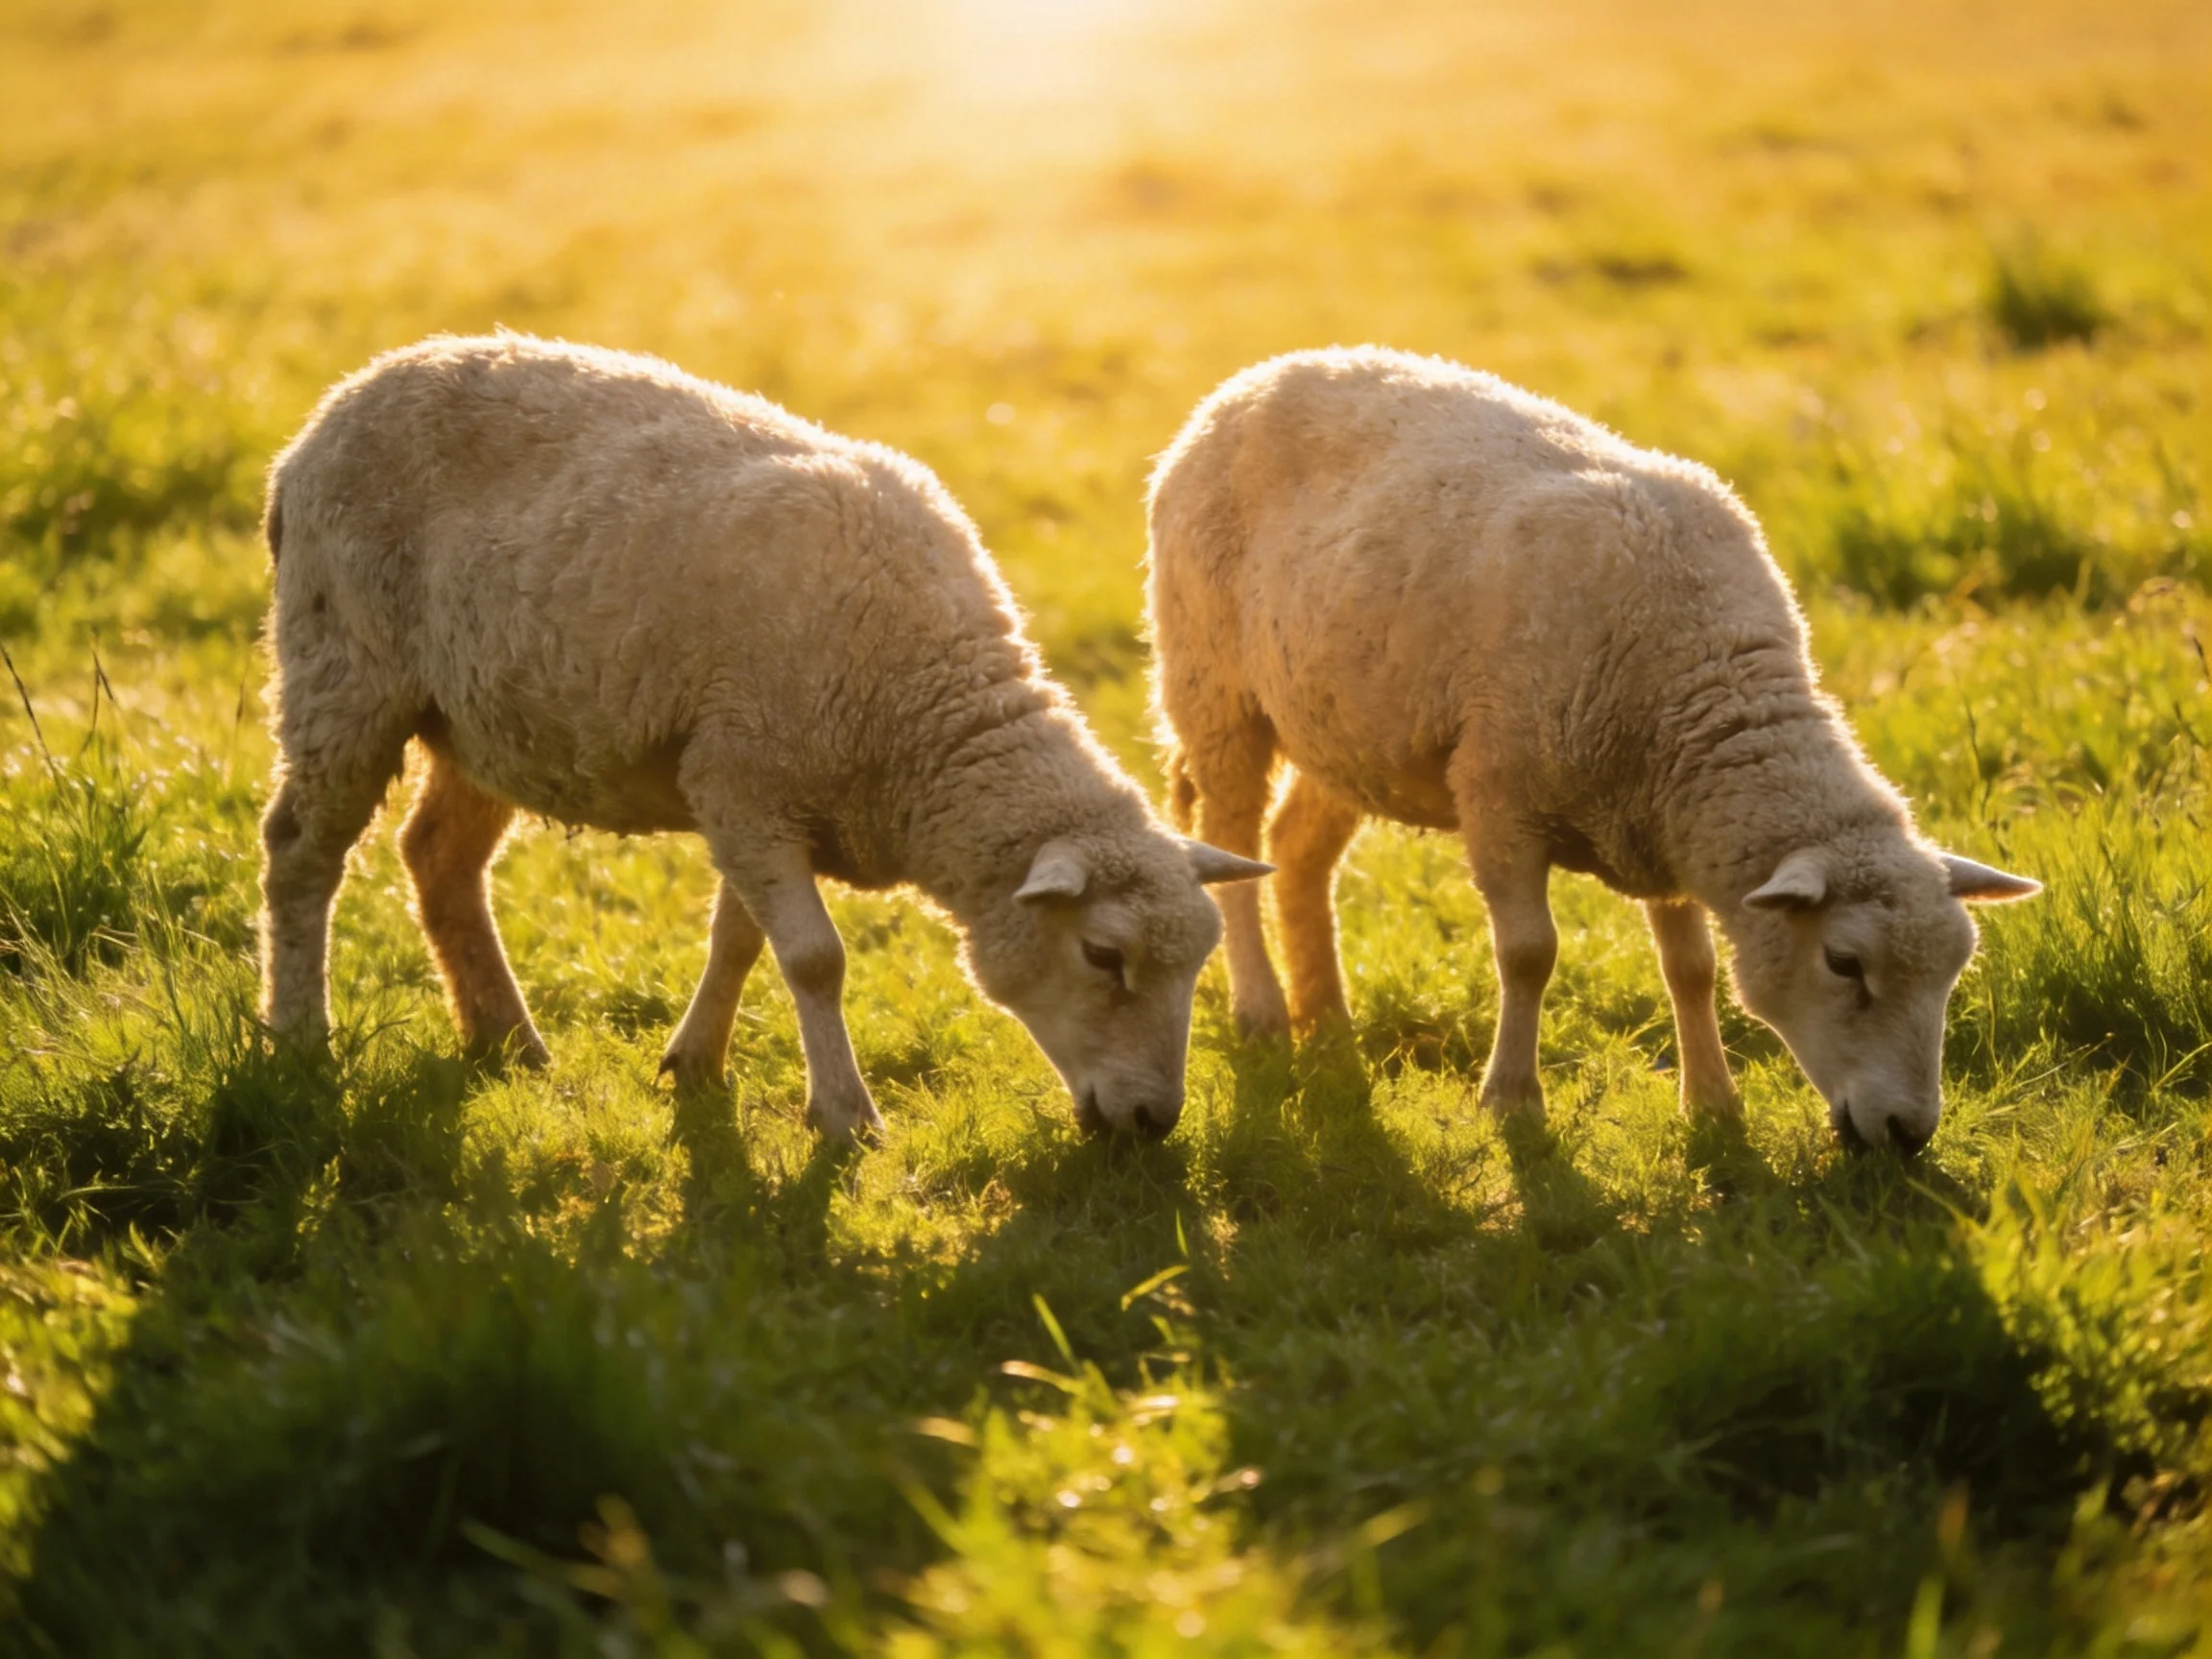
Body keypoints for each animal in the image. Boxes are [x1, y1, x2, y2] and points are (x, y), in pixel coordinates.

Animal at [258, 333, 1270, 1143]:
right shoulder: (745, 780)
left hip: (483, 715)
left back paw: (508, 1040)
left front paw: (696, 1062)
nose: (1154, 1121)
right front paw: (845, 1116)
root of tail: (328, 414)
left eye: (1198, 962)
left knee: (438, 857)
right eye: (1104, 956)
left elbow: (740, 940)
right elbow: (817, 959)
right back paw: (301, 1034)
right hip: (344, 669)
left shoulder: (748, 792)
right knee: (300, 852)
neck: (923, 718)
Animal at [1147, 347, 2038, 1154]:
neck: (1698, 679)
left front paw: (1713, 1103)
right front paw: (1511, 1099)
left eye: (1955, 972)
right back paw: (1262, 1011)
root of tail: (1264, 371)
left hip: (1347, 727)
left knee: (1297, 850)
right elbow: (1529, 954)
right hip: (1212, 684)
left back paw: (1327, 1019)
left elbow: (1692, 969)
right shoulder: (1498, 794)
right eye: (1845, 963)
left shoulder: (1663, 823)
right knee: (1232, 836)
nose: (1908, 1133)